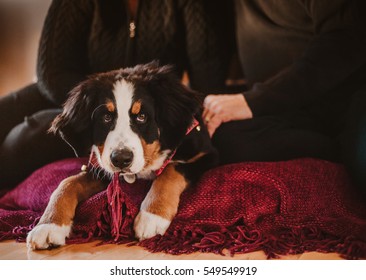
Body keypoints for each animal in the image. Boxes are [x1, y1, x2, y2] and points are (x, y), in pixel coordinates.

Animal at [27, 63, 220, 249]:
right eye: (106, 117)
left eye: (142, 116)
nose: (121, 159)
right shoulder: (102, 169)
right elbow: (67, 183)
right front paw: (48, 225)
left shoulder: (206, 155)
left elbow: (170, 170)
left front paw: (152, 215)